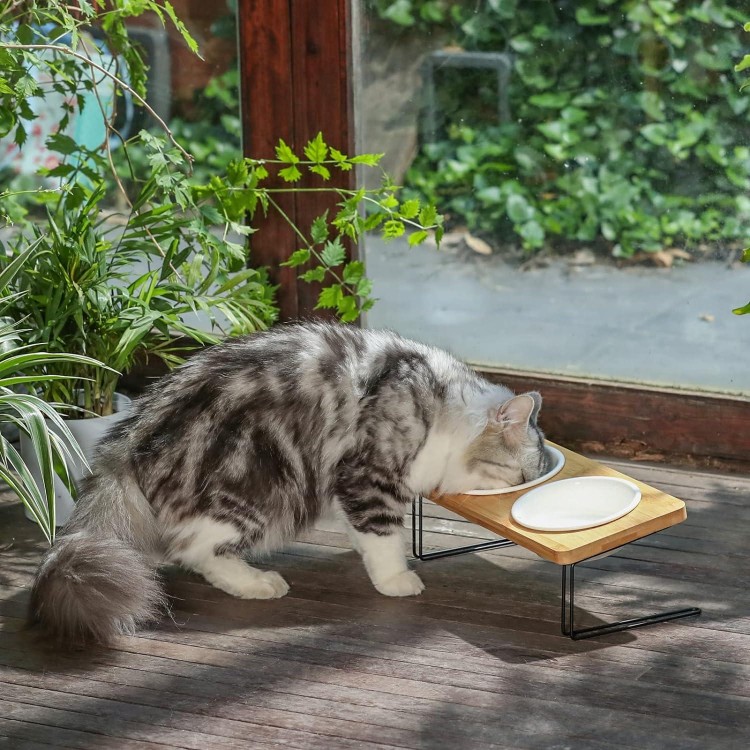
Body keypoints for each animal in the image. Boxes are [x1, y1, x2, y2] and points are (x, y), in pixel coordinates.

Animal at [27, 322, 552, 648]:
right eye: (522, 477)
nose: (522, 494)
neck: (442, 410)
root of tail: (136, 427)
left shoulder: (348, 486)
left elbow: (361, 532)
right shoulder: (369, 475)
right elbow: (382, 537)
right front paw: (397, 580)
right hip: (259, 491)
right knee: (193, 550)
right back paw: (257, 583)